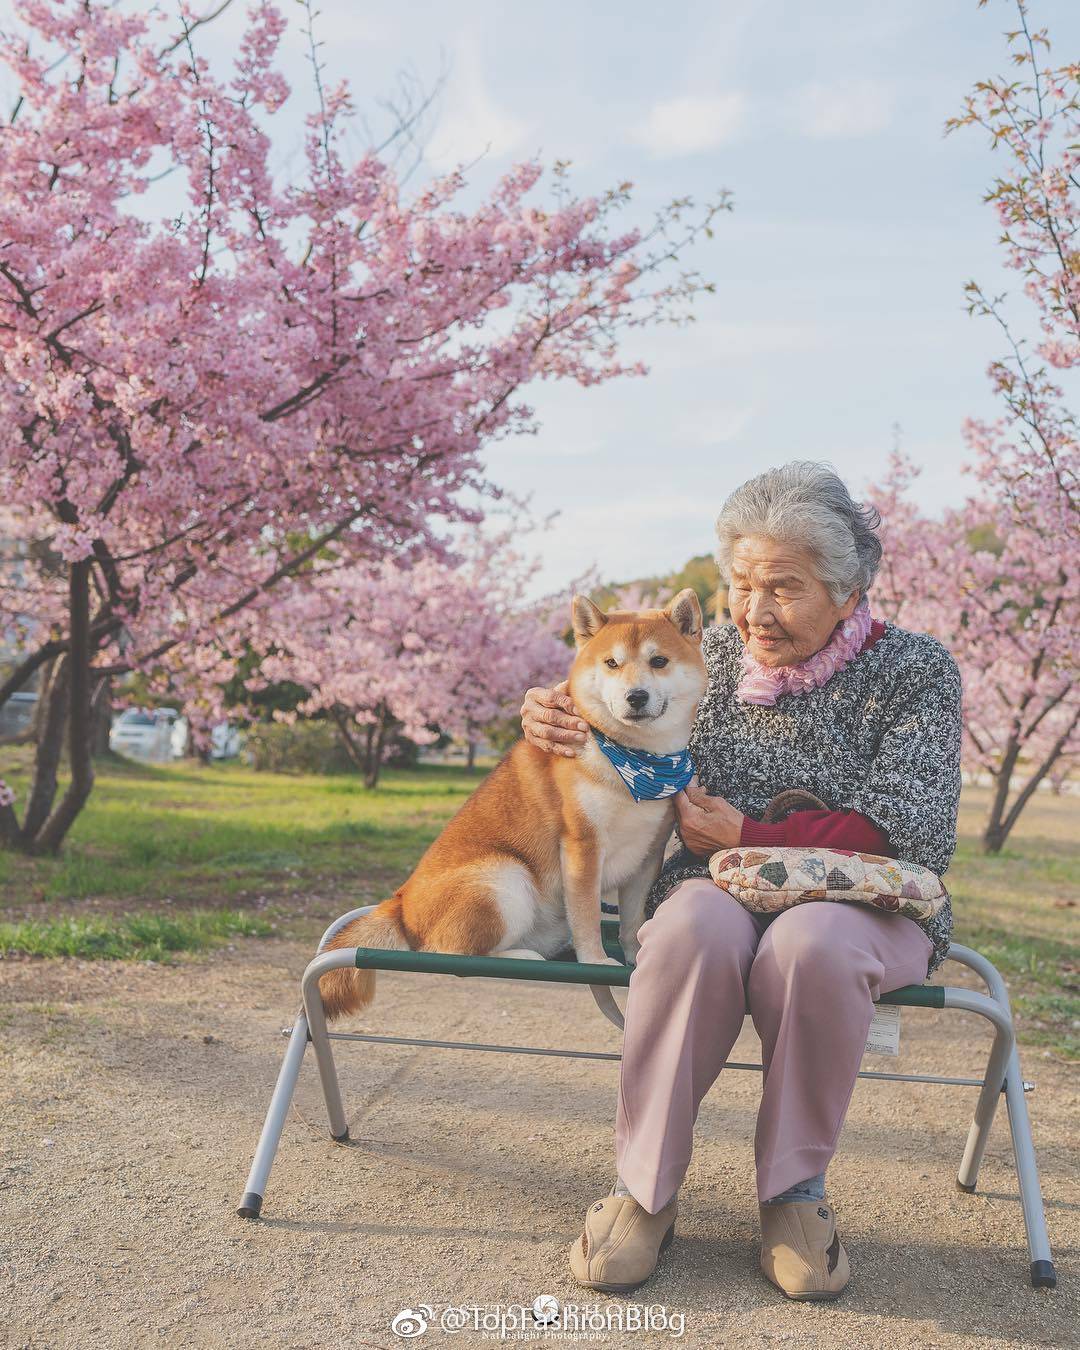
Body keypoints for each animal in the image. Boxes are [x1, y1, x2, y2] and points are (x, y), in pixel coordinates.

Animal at [318, 585, 707, 1015]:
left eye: (659, 661)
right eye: (611, 663)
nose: (635, 696)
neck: (637, 762)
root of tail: (400, 904)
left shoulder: (647, 853)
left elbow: (632, 923)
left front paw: (637, 958)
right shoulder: (583, 847)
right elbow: (588, 916)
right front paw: (596, 961)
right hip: (505, 877)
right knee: (451, 953)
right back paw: (520, 956)